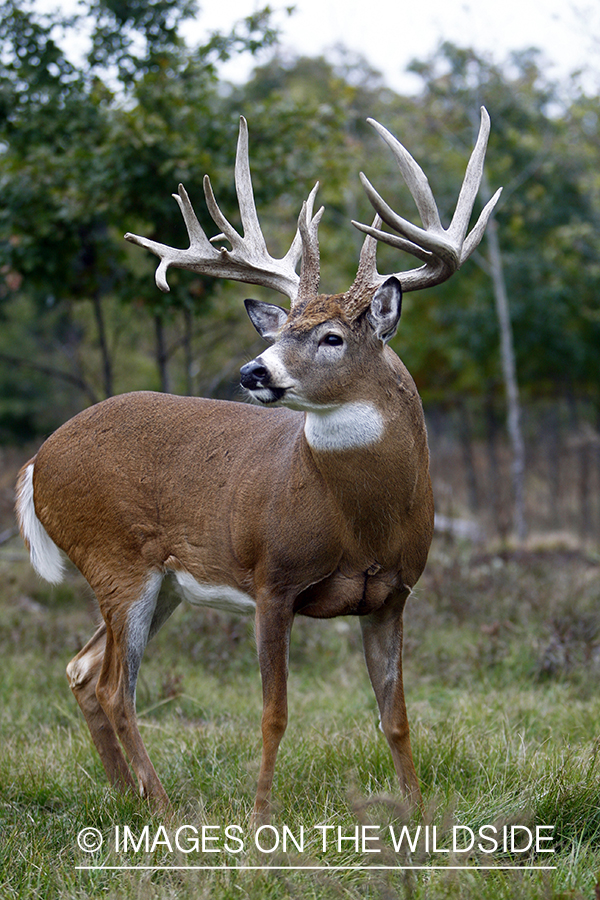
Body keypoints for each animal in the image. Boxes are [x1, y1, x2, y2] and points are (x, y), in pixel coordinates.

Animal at [16, 110, 500, 824]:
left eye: (331, 336)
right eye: (279, 329)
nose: (253, 370)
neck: (362, 524)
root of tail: (35, 462)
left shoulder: (394, 594)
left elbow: (396, 717)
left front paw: (417, 814)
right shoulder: (273, 579)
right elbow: (275, 712)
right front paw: (260, 818)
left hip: (160, 583)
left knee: (81, 670)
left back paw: (128, 798)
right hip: (116, 559)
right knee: (111, 686)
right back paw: (165, 809)